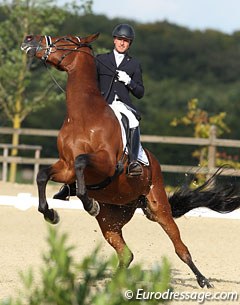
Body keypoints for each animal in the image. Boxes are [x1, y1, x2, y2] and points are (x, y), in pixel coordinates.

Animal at [21, 32, 240, 288]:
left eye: (66, 39)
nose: (29, 39)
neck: (83, 116)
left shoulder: (104, 163)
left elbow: (82, 162)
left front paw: (88, 203)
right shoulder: (65, 167)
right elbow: (42, 174)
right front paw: (51, 214)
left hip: (159, 208)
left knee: (179, 247)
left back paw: (203, 280)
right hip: (111, 219)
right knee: (126, 254)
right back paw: (114, 284)